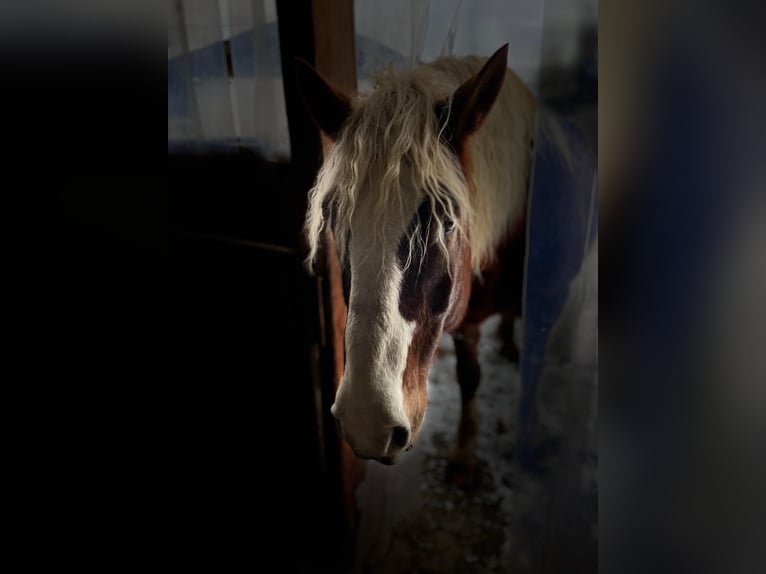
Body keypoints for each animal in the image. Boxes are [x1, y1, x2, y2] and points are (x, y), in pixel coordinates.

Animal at [294, 44, 552, 476]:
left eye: (448, 222)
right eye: (333, 217)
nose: (367, 422)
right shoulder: (465, 319)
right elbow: (469, 376)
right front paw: (464, 452)